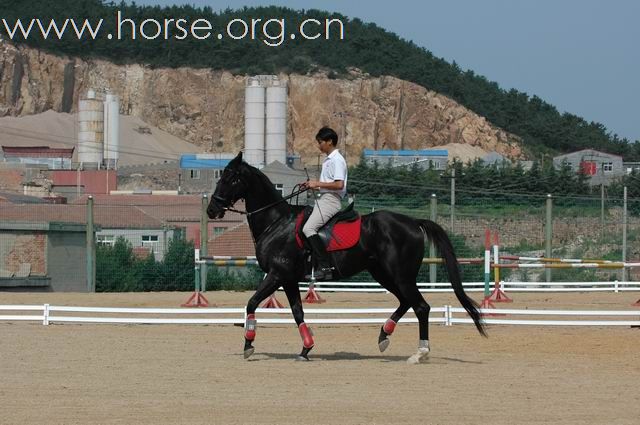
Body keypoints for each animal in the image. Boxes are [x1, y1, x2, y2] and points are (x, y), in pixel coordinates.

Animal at [210, 152, 484, 362]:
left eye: (230, 178)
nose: (212, 209)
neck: (276, 222)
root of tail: (414, 222)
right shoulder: (288, 279)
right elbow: (297, 312)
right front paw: (306, 349)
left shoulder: (277, 274)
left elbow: (251, 303)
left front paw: (248, 345)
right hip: (383, 274)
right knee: (406, 302)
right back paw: (384, 335)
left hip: (400, 275)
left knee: (421, 306)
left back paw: (420, 353)